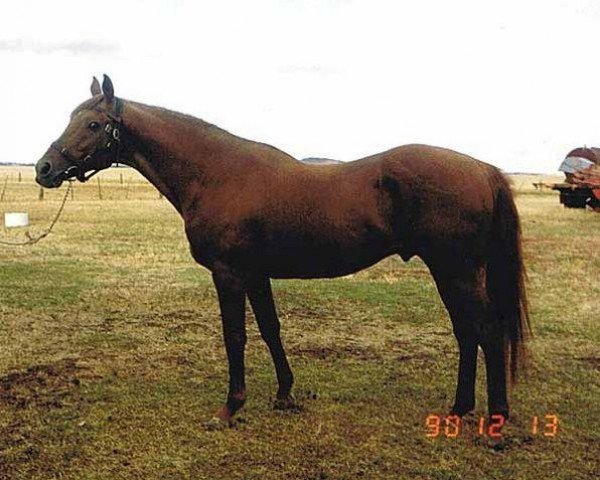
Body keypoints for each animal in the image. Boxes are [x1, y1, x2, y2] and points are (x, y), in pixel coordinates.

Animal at [35, 75, 528, 428]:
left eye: (93, 125)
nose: (45, 168)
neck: (216, 173)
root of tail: (482, 169)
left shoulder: (228, 273)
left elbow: (236, 336)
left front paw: (229, 409)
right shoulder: (256, 274)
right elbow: (271, 330)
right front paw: (285, 394)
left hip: (456, 270)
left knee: (485, 331)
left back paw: (495, 418)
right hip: (451, 271)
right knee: (467, 332)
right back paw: (459, 408)